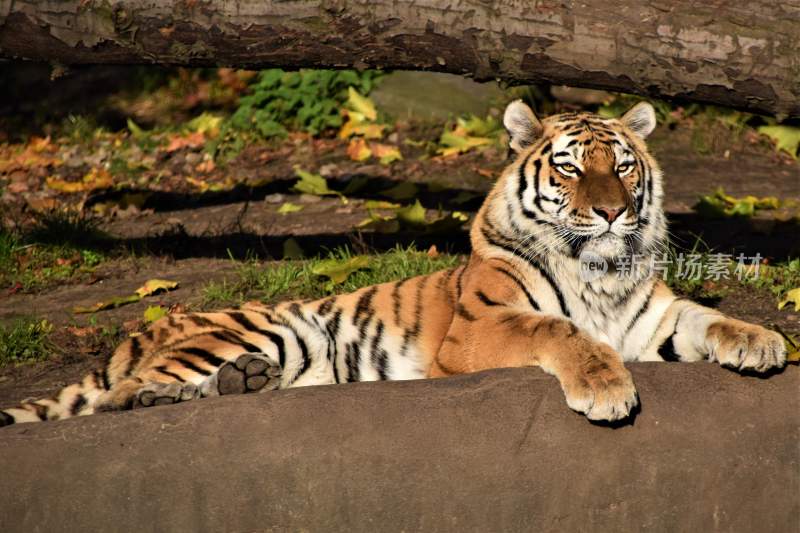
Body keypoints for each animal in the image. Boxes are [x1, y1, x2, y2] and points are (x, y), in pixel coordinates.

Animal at [0, 98, 788, 424]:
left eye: (622, 166)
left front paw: (762, 342)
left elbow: (710, 318)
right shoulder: (479, 328)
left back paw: (244, 384)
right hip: (267, 327)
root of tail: (138, 331)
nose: (612, 212)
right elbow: (558, 330)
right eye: (569, 169)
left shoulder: (652, 319)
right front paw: (604, 388)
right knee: (116, 398)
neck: (598, 269)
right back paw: (174, 394)